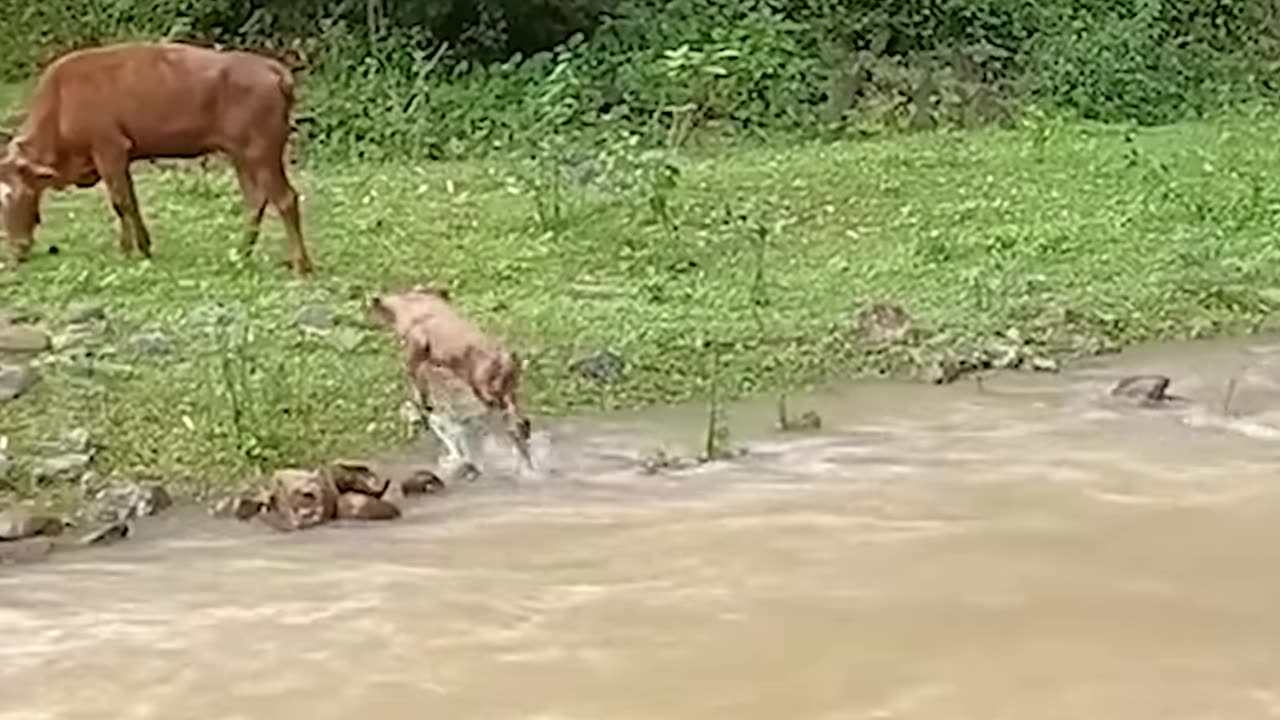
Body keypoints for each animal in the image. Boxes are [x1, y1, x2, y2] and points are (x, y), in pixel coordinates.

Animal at [1, 41, 316, 274]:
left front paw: (132, 249)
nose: (16, 250)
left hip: (262, 153)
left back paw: (301, 265)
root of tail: (273, 69)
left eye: (14, 195)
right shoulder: (120, 158)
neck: (62, 100)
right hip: (242, 156)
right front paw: (139, 246)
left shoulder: (109, 150)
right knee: (256, 200)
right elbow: (129, 201)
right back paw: (241, 253)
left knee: (285, 199)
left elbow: (122, 202)